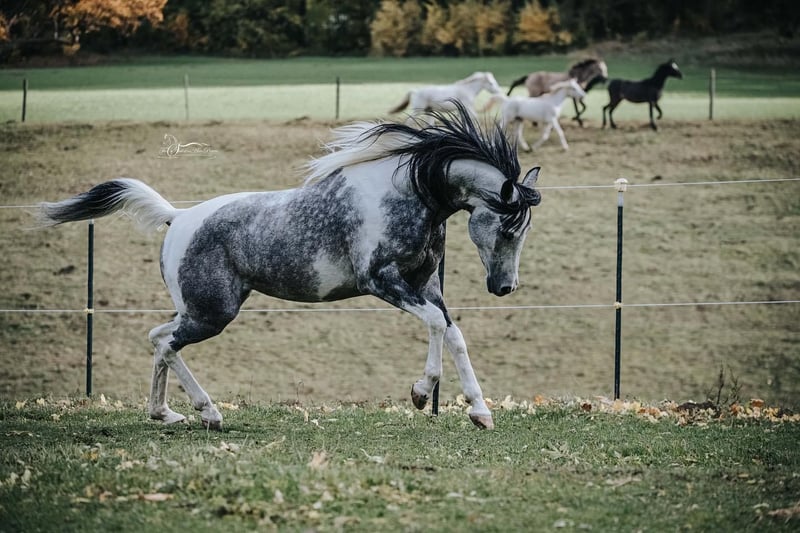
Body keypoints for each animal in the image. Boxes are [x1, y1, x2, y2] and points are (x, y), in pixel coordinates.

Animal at [37, 102, 542, 432]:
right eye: (508, 228)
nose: (504, 288)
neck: (408, 194)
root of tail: (177, 218)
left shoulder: (426, 286)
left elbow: (453, 333)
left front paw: (480, 411)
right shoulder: (382, 282)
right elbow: (437, 326)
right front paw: (420, 393)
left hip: (200, 309)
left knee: (158, 340)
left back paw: (167, 413)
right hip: (212, 313)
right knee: (165, 343)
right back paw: (207, 413)